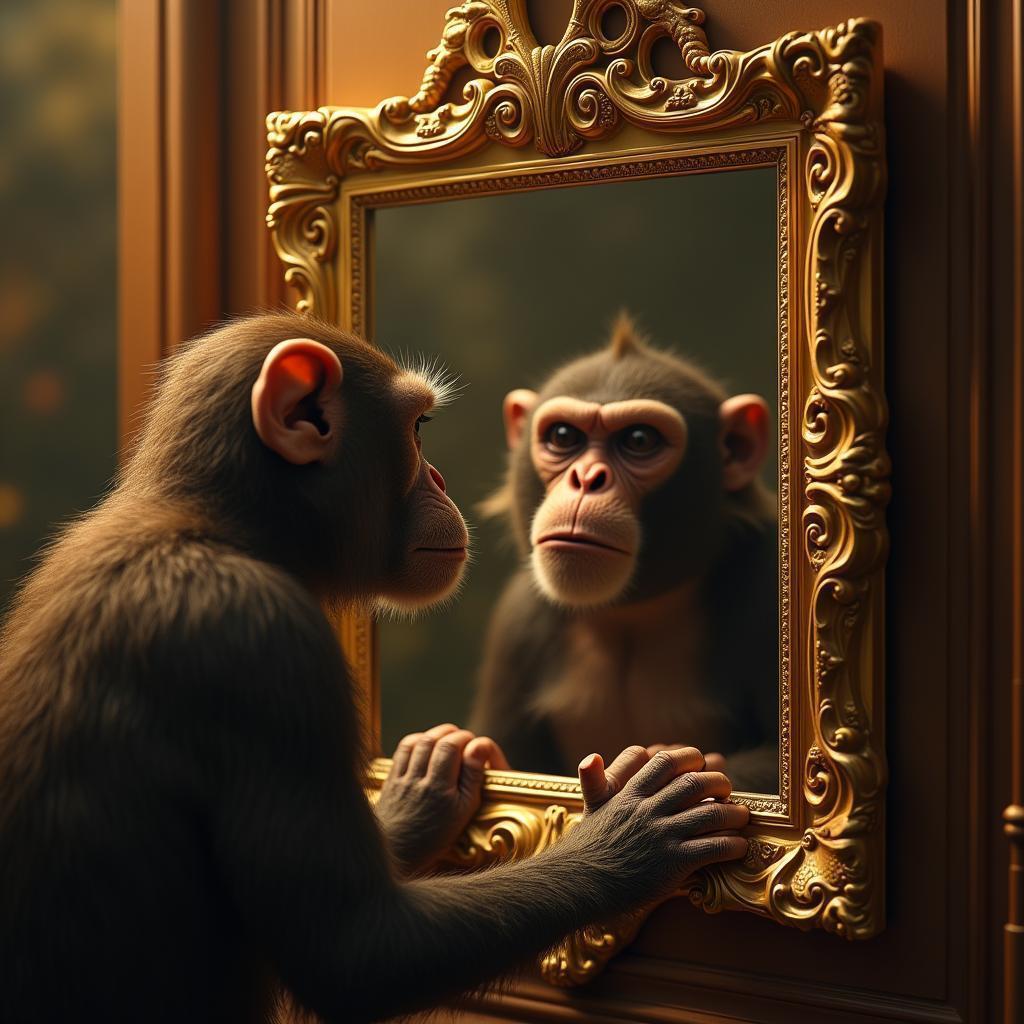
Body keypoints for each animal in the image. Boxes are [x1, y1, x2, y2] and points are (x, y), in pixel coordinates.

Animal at [470, 314, 779, 793]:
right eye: (564, 436)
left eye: (638, 440)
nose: (586, 478)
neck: (632, 612)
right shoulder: (516, 622)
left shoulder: (768, 588)